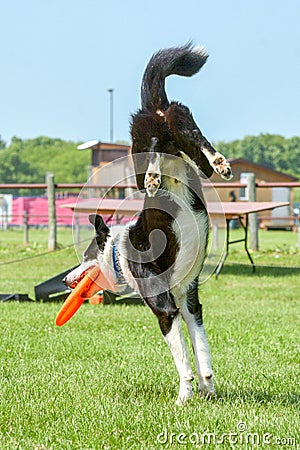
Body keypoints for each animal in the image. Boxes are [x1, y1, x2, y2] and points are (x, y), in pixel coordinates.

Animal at [64, 44, 233, 404]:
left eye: (85, 257)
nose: (66, 280)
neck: (119, 251)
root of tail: (154, 103)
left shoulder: (164, 308)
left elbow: (183, 361)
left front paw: (183, 397)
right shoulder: (189, 303)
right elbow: (202, 353)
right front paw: (206, 390)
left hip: (140, 142)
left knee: (153, 149)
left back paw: (155, 177)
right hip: (183, 129)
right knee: (197, 142)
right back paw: (220, 163)